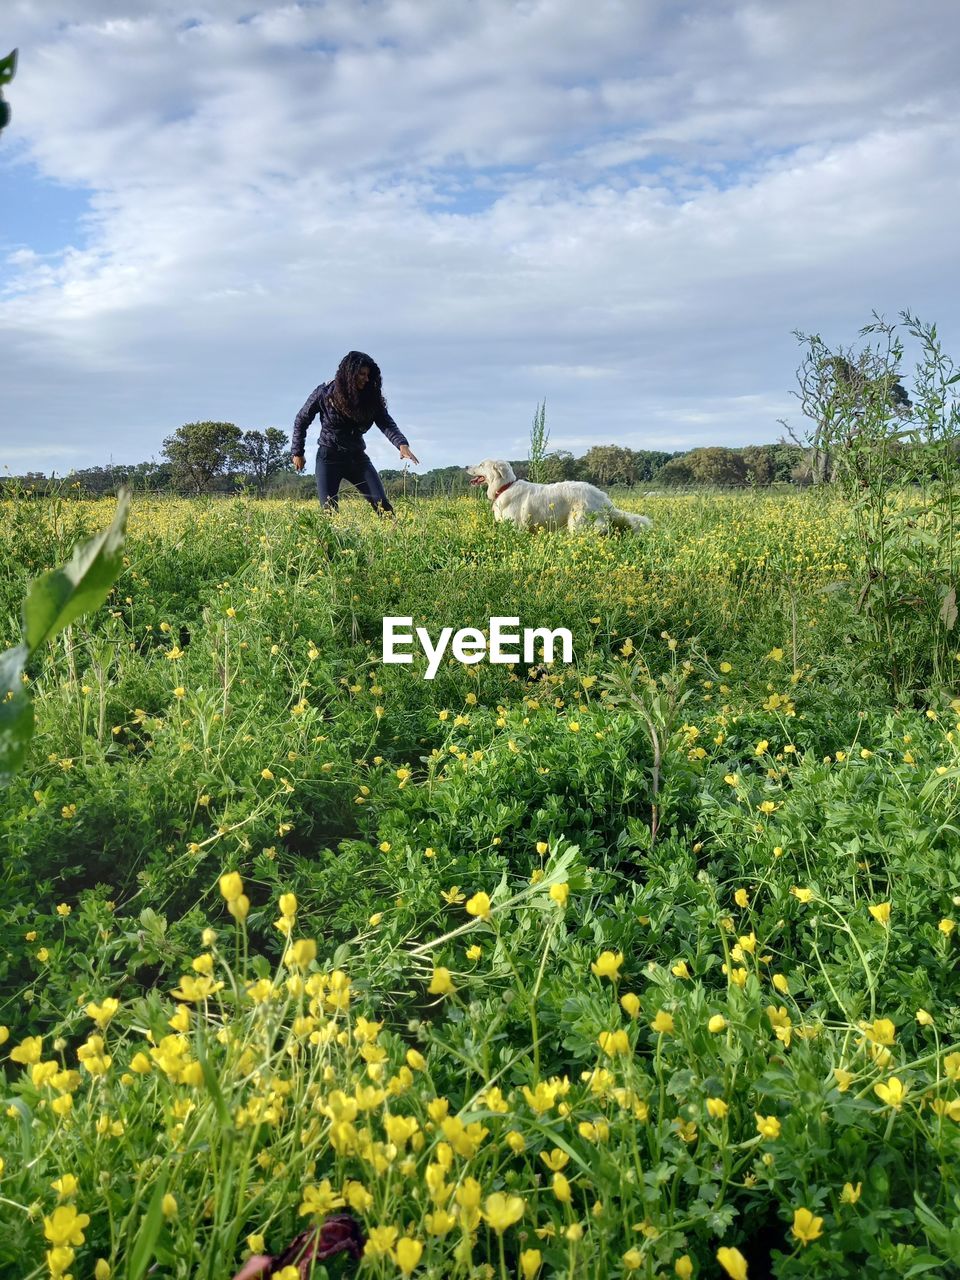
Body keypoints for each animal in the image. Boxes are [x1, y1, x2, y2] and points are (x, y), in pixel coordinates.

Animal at [468, 460, 655, 535]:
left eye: (481, 464)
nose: (466, 467)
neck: (505, 486)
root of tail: (602, 497)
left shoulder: (517, 527)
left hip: (578, 523)